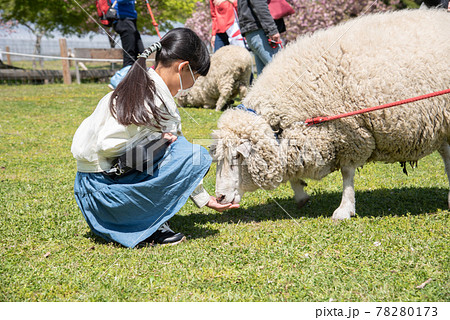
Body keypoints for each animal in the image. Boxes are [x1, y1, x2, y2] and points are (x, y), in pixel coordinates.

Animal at [210, 9, 450, 220]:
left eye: (236, 157)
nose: (219, 197)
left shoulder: (351, 134)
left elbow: (347, 174)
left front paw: (344, 209)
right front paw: (301, 195)